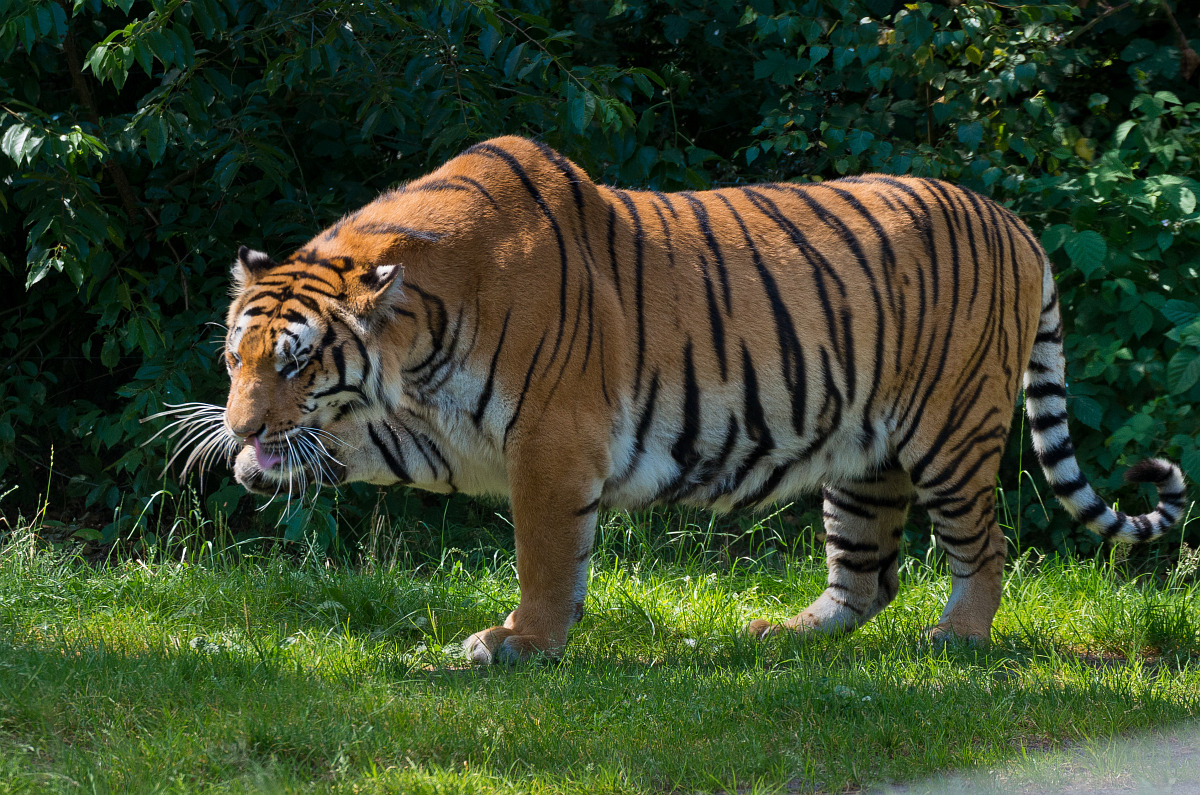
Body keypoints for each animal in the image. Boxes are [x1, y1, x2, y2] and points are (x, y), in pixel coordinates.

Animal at [158, 135, 1186, 664]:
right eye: (236, 358)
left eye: (297, 364)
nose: (242, 424)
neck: (415, 350)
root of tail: (1016, 222)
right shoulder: (443, 432)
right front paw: (255, 462)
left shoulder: (551, 441)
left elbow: (546, 559)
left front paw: (519, 642)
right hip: (863, 456)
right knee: (867, 573)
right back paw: (785, 634)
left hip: (951, 433)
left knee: (986, 543)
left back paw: (958, 638)